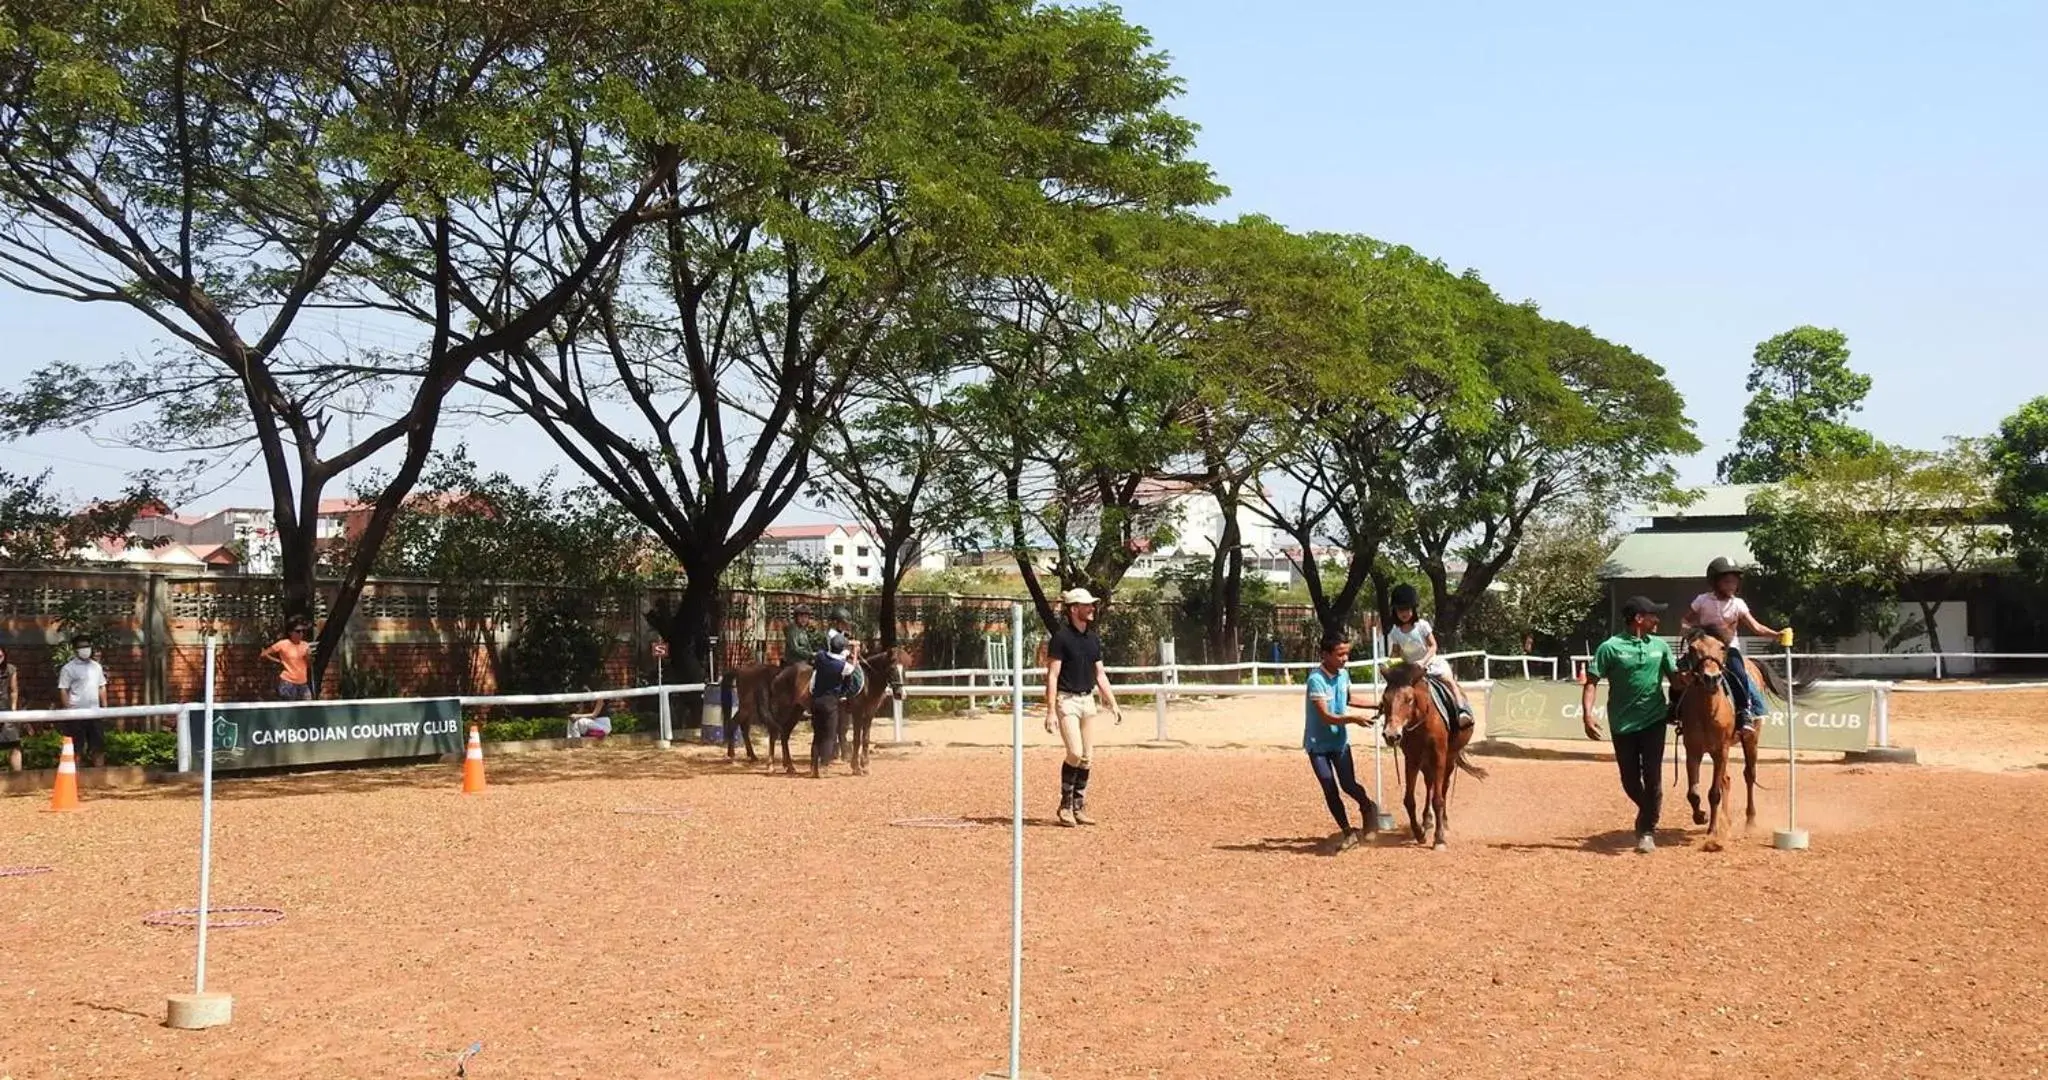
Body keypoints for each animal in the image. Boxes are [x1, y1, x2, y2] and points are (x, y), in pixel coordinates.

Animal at [1376, 663, 1490, 848]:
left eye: (1409, 699)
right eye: (1385, 699)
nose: (1391, 735)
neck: (1422, 720)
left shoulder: (1439, 757)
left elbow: (1438, 799)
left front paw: (1439, 838)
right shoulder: (1412, 760)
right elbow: (1409, 800)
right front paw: (1419, 833)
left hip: (1449, 759)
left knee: (1443, 787)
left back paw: (1443, 822)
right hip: (1425, 763)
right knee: (1429, 785)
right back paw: (1427, 821)